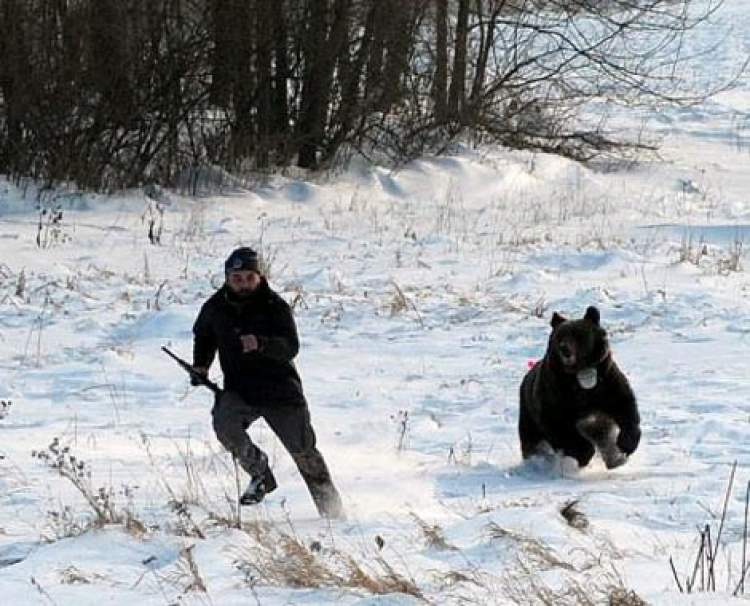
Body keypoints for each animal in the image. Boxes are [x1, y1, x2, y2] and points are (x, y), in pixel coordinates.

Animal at [524, 308, 640, 470]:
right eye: (559, 336)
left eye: (578, 334)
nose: (565, 349)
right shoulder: (556, 396)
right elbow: (561, 428)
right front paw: (582, 455)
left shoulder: (607, 383)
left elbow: (626, 408)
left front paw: (626, 445)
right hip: (529, 419)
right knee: (533, 443)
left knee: (605, 440)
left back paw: (615, 459)